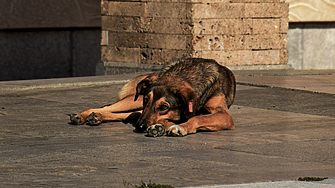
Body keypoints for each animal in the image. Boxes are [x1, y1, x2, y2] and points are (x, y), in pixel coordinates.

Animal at [69, 57, 236, 137]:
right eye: (145, 100)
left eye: (164, 107)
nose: (140, 127)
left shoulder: (224, 115)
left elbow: (198, 118)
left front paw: (176, 127)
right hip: (132, 101)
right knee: (108, 107)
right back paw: (83, 115)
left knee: (129, 115)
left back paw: (96, 117)